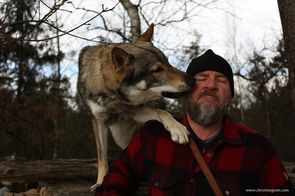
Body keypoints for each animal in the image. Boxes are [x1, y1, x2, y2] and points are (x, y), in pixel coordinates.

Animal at [77, 23, 195, 191]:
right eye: (157, 70)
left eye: (167, 62)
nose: (192, 80)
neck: (113, 95)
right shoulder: (98, 121)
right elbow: (102, 158)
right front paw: (99, 183)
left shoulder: (135, 110)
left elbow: (162, 112)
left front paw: (177, 128)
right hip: (119, 136)